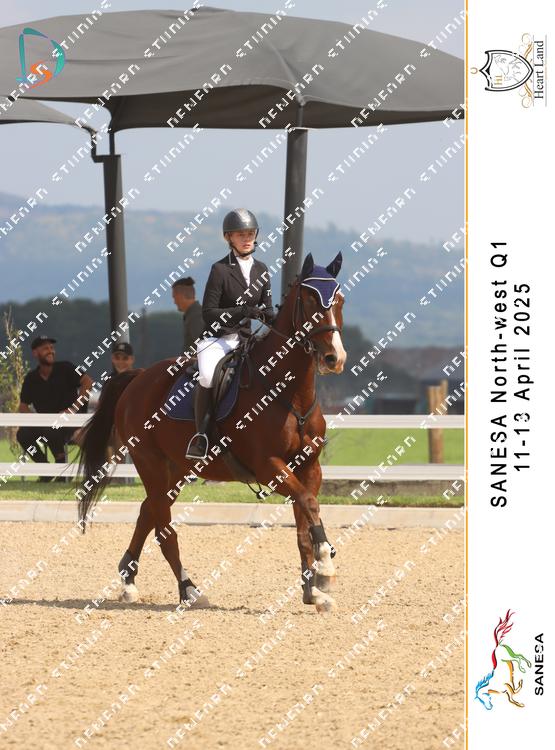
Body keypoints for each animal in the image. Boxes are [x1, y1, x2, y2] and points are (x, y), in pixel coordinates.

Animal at [76, 252, 347, 613]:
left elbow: (304, 521)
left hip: (176, 469)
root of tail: (138, 377)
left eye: (339, 300)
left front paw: (313, 590)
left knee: (148, 511)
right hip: (149, 461)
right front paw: (326, 566)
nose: (335, 358)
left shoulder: (309, 467)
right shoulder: (269, 465)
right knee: (164, 529)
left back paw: (129, 582)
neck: (288, 393)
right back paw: (188, 589)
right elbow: (309, 503)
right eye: (310, 300)